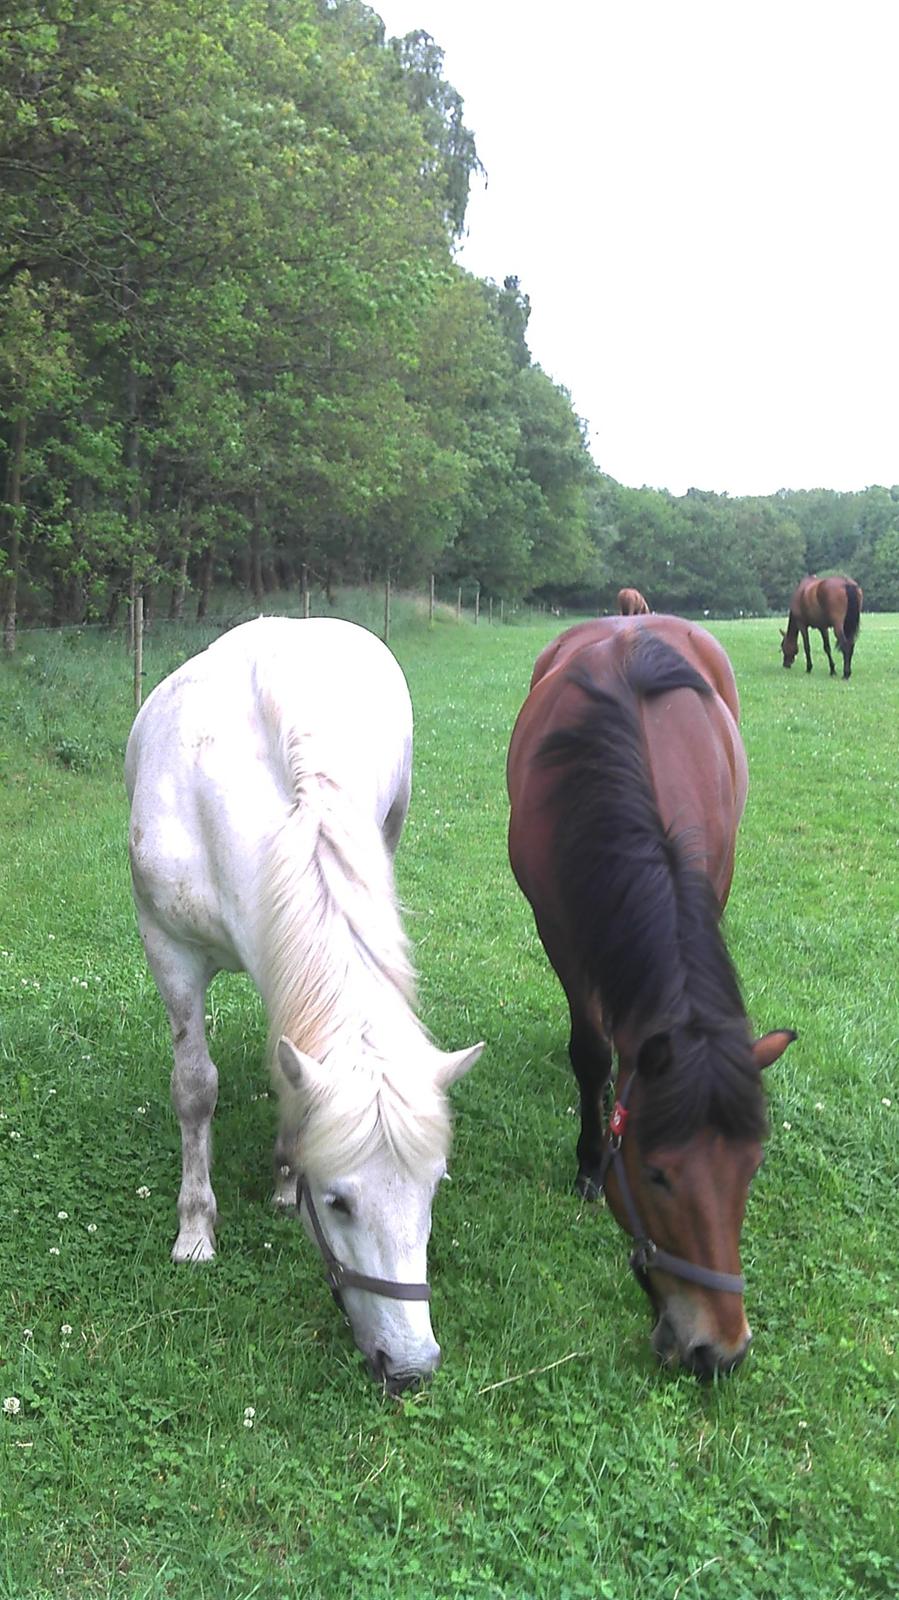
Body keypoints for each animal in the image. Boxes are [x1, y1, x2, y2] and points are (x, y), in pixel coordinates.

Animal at [126, 617, 483, 1395]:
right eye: (340, 1202)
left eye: (433, 1190)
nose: (410, 1365)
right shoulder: (168, 949)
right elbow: (194, 1089)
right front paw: (195, 1231)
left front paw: (285, 1179)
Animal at [505, 617, 790, 1382]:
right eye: (657, 1176)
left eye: (751, 1167)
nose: (719, 1349)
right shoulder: (558, 926)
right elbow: (590, 1050)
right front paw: (585, 1159)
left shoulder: (709, 886)